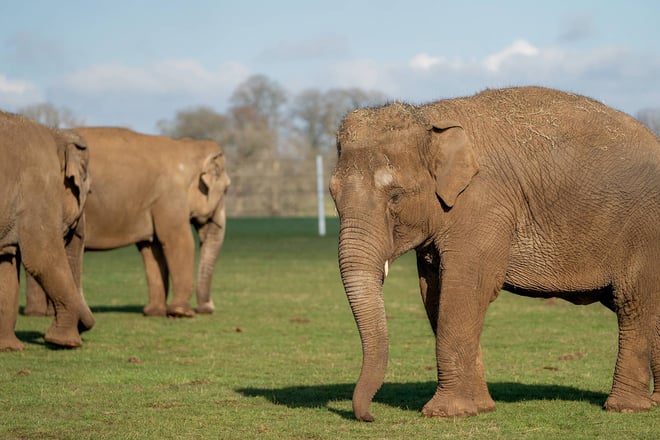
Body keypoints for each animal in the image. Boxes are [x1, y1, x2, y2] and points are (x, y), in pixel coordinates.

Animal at [0, 111, 94, 350]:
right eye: (86, 191)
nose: (83, 328)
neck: (55, 133)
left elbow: (6, 265)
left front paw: (9, 348)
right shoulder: (38, 184)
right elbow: (42, 258)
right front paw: (65, 343)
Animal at [24, 127, 230, 318]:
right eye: (226, 189)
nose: (207, 308)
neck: (188, 147)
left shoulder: (153, 203)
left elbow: (151, 248)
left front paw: (153, 313)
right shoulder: (169, 197)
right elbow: (178, 241)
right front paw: (181, 313)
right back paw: (42, 313)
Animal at [329, 86, 660, 421]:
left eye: (395, 196)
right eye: (332, 194)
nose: (370, 416)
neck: (430, 117)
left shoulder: (484, 205)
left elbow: (468, 288)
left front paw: (445, 413)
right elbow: (434, 292)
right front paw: (478, 408)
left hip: (645, 231)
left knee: (633, 305)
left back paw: (625, 407)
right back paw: (655, 402)